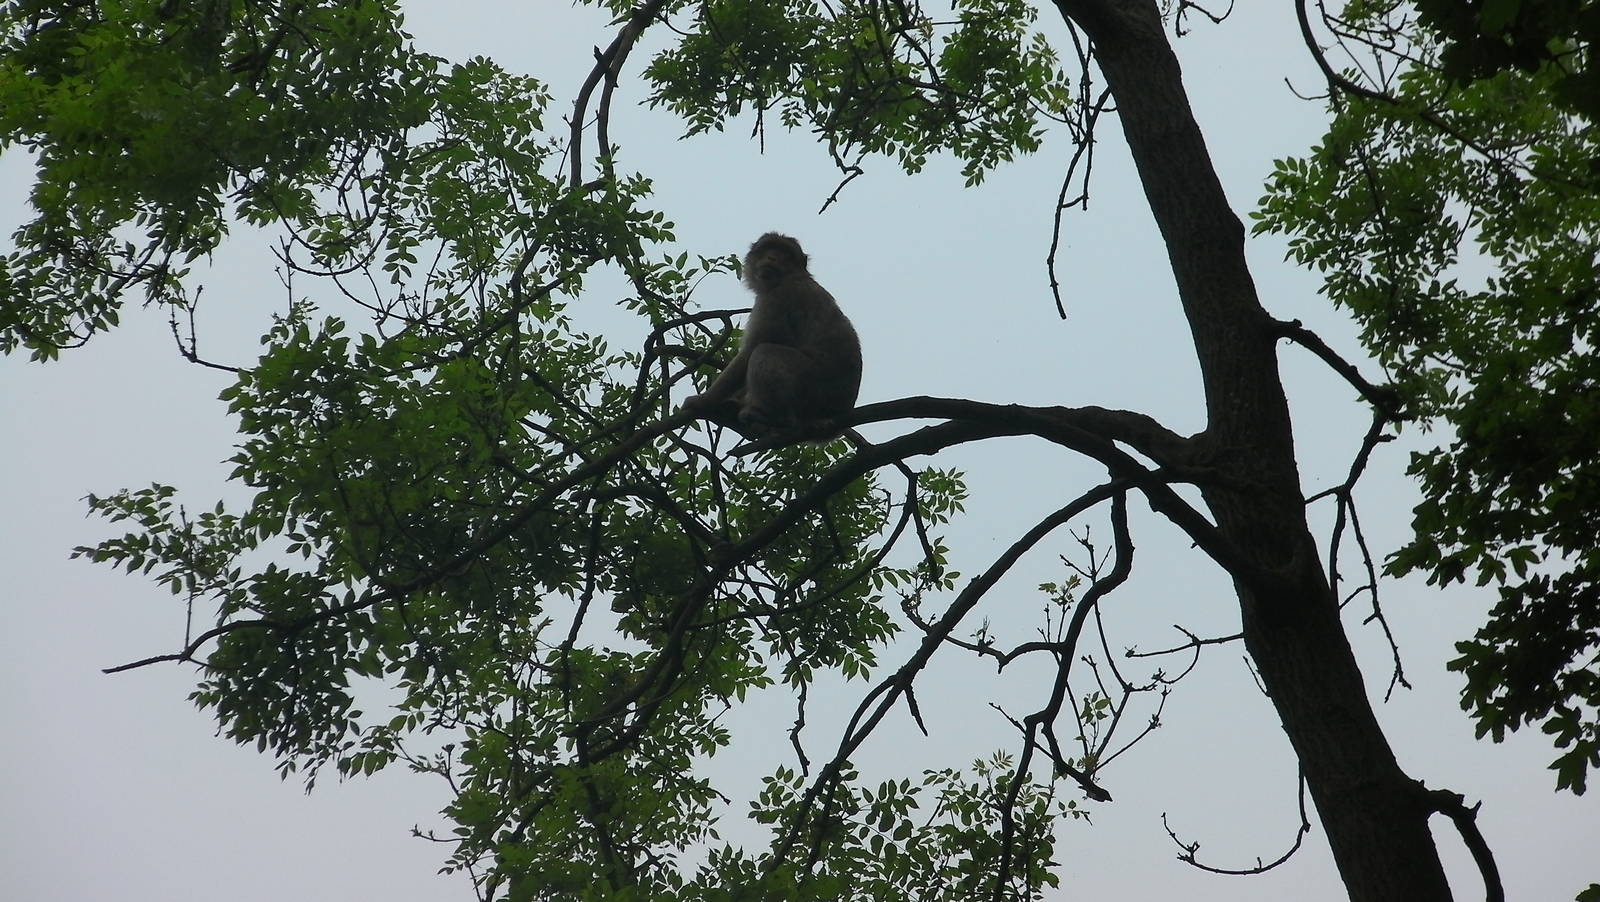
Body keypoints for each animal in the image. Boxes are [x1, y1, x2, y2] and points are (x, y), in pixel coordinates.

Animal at [684, 233, 862, 443]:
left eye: (784, 253)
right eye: (767, 248)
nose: (772, 257)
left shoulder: (777, 299)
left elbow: (750, 351)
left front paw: (703, 402)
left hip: (818, 389)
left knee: (766, 352)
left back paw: (776, 419)